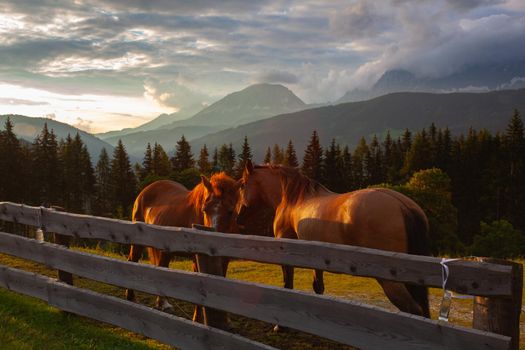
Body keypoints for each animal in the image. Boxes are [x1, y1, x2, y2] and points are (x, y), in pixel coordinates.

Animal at [126, 174, 241, 318]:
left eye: (230, 211)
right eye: (205, 209)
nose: (211, 242)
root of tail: (144, 192)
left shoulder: (224, 260)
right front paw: (197, 319)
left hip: (165, 249)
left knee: (161, 267)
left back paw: (163, 304)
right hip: (138, 242)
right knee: (132, 261)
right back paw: (131, 298)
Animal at [237, 161, 430, 318]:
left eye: (242, 186)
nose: (237, 216)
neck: (293, 200)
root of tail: (403, 206)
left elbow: (288, 284)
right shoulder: (316, 259)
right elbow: (318, 286)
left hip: (391, 281)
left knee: (413, 309)